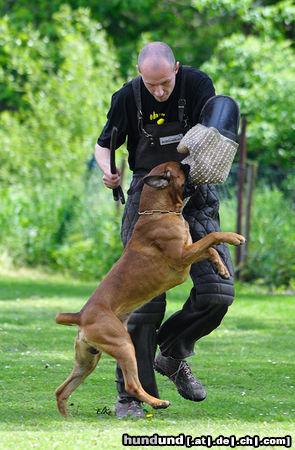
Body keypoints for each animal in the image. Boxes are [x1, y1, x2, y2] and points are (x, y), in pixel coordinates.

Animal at [55, 160, 245, 416]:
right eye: (182, 169)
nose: (188, 162)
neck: (158, 213)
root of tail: (81, 316)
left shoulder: (188, 253)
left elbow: (211, 249)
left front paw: (221, 268)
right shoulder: (182, 257)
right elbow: (212, 238)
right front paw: (234, 238)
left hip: (87, 361)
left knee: (61, 390)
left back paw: (67, 418)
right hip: (124, 345)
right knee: (131, 384)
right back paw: (156, 402)